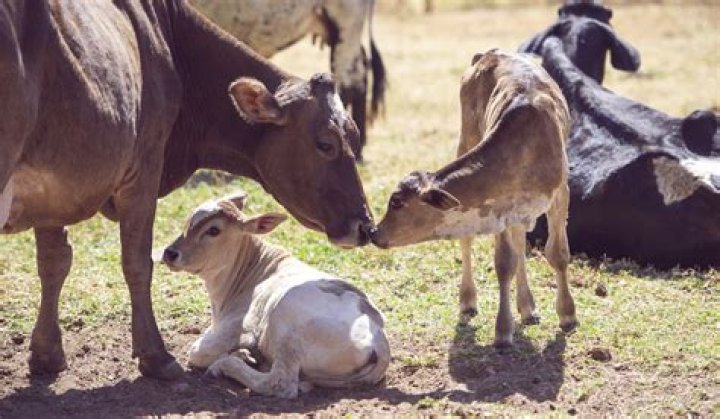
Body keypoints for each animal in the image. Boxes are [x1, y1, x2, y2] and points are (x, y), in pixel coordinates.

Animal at [162, 192, 390, 398]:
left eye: (214, 230)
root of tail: (379, 337)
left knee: (279, 384)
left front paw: (240, 353)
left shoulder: (234, 328)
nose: (169, 253)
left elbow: (196, 353)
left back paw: (227, 365)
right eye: (188, 221)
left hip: (287, 327)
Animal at [370, 50, 577, 348]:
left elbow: (557, 254)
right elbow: (504, 263)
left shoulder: (560, 192)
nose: (374, 232)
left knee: (519, 243)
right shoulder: (498, 207)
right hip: (465, 136)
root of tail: (490, 53)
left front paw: (567, 315)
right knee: (471, 240)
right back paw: (470, 302)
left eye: (396, 202)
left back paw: (528, 308)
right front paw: (503, 331)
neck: (525, 147)